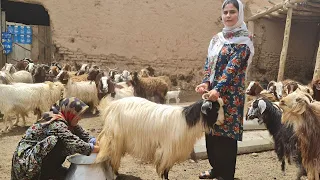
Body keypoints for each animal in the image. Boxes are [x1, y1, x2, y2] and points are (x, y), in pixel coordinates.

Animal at [95, 95, 225, 179]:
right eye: (216, 108)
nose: (223, 121)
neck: (185, 122)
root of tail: (110, 106)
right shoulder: (168, 150)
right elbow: (165, 169)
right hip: (114, 138)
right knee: (111, 155)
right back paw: (115, 173)